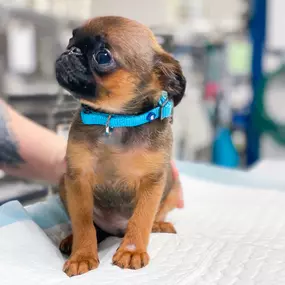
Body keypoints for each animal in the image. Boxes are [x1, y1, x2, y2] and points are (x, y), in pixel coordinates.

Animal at [54, 15, 185, 276]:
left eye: (103, 56)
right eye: (72, 38)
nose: (71, 50)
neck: (114, 120)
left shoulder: (152, 182)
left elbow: (141, 219)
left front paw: (131, 250)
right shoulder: (77, 178)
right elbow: (84, 223)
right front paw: (82, 255)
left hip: (173, 188)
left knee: (154, 216)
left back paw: (159, 224)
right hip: (63, 183)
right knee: (95, 228)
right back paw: (72, 240)